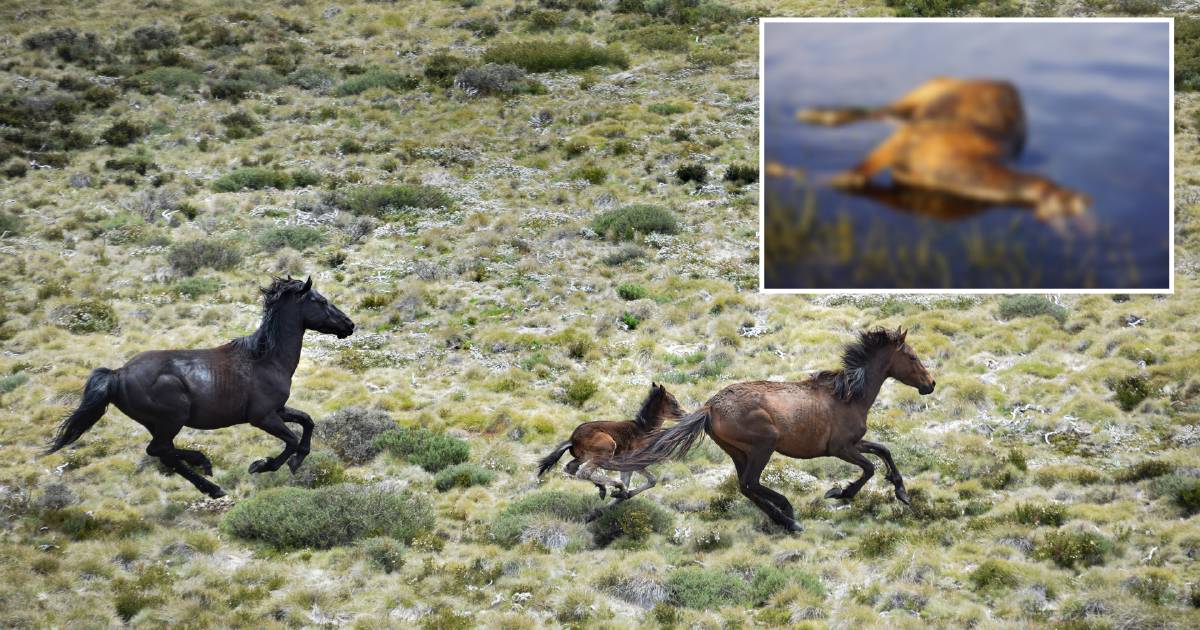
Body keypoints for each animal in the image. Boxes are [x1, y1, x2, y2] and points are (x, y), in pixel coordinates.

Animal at [48, 274, 355, 496]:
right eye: (320, 300)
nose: (349, 325)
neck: (266, 358)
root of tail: (117, 374)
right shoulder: (262, 417)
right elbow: (291, 439)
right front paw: (263, 465)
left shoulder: (278, 410)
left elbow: (307, 421)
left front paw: (297, 461)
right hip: (172, 418)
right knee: (158, 450)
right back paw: (205, 466)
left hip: (159, 423)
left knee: (165, 453)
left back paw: (211, 484)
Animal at [537, 379, 681, 501]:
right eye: (674, 402)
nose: (684, 414)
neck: (644, 429)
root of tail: (572, 439)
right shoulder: (635, 461)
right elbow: (650, 480)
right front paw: (623, 492)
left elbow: (645, 480)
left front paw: (623, 494)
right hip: (605, 450)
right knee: (583, 473)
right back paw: (616, 485)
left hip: (584, 457)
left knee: (571, 469)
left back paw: (603, 488)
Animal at [609, 326, 936, 532]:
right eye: (912, 356)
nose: (930, 384)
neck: (849, 396)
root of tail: (709, 407)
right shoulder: (841, 448)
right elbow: (869, 468)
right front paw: (840, 492)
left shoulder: (855, 443)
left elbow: (884, 451)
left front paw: (902, 492)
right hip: (763, 446)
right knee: (751, 483)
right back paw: (789, 516)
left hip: (738, 452)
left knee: (745, 486)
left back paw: (786, 517)